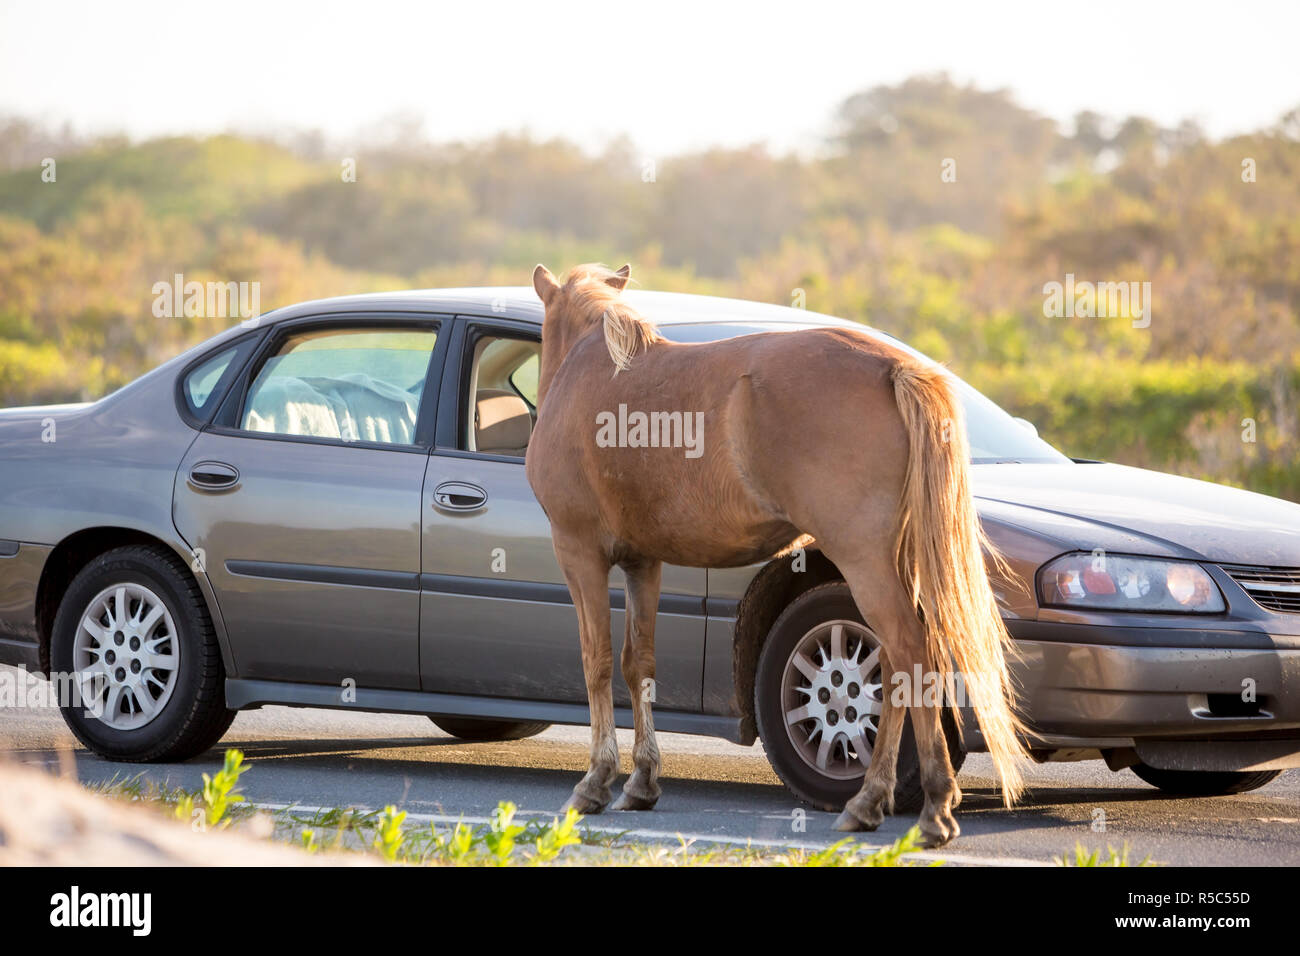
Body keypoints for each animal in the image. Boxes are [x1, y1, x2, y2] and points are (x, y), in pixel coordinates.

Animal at [522, 260, 1019, 842]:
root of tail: (894, 368)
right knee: (899, 664)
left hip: (866, 564)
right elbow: (636, 662)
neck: (592, 371)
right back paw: (872, 800)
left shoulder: (580, 554)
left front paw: (596, 781)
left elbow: (596, 660)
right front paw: (642, 781)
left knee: (908, 653)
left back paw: (928, 806)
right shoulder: (644, 563)